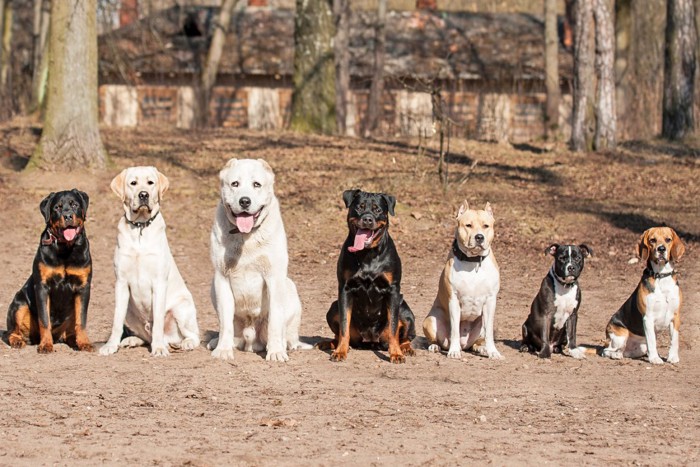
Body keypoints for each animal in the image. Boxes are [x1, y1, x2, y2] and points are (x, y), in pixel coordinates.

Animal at [98, 167, 200, 358]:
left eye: (150, 182)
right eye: (133, 183)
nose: (143, 194)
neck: (140, 227)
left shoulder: (159, 283)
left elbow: (158, 321)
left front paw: (158, 349)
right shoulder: (121, 283)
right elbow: (116, 321)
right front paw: (110, 345)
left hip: (182, 308)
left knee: (193, 335)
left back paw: (183, 343)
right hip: (130, 310)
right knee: (145, 336)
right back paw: (131, 340)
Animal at [208, 157, 312, 362]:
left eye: (257, 184)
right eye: (235, 184)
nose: (244, 201)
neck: (245, 237)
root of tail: (250, 341)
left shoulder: (274, 278)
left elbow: (275, 321)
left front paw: (276, 352)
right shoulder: (221, 277)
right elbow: (225, 322)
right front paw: (223, 349)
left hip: (289, 287)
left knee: (288, 334)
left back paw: (287, 344)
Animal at [424, 200, 500, 358]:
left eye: (486, 226)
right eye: (468, 225)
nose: (479, 237)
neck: (473, 262)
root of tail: (465, 344)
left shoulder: (490, 301)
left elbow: (489, 332)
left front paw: (493, 352)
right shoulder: (454, 300)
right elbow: (454, 330)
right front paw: (454, 351)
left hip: (480, 325)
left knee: (476, 342)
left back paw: (482, 349)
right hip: (430, 320)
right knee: (438, 340)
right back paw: (437, 346)